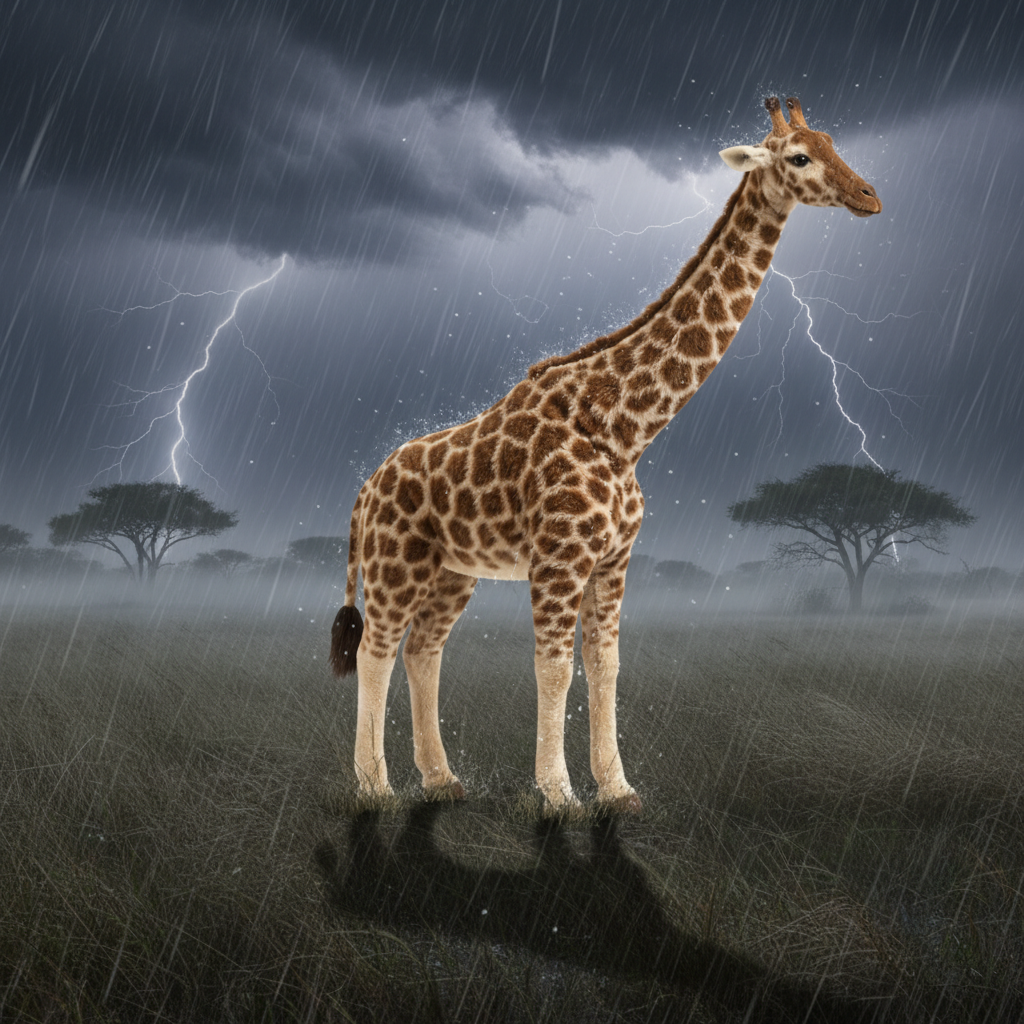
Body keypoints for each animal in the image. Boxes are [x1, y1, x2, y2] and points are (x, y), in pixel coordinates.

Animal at [330, 97, 881, 811]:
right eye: (799, 156)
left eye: (835, 141)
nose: (869, 197)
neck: (624, 427)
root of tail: (365, 490)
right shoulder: (560, 557)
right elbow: (555, 666)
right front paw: (558, 794)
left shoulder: (614, 557)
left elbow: (606, 663)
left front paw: (617, 787)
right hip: (396, 565)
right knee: (375, 650)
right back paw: (375, 788)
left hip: (451, 571)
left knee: (423, 650)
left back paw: (442, 779)